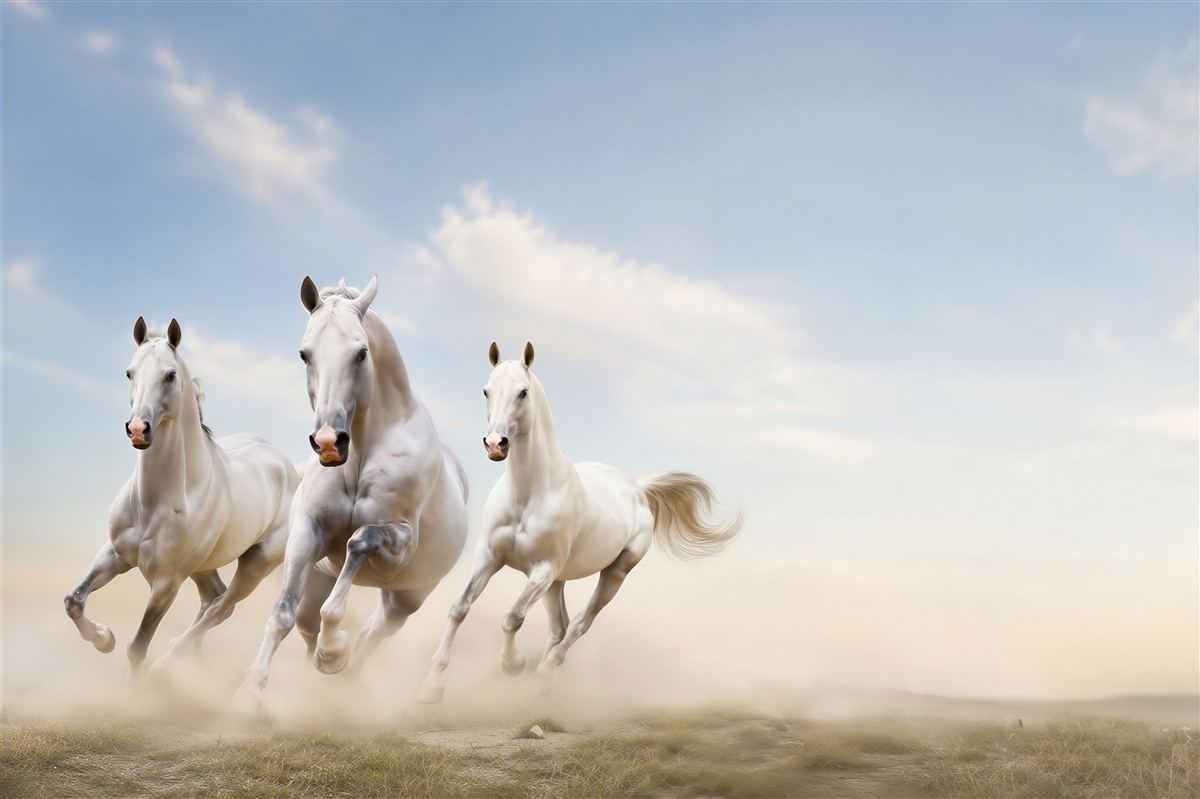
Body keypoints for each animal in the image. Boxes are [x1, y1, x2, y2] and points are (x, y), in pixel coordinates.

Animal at [63, 317, 300, 691]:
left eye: (170, 375)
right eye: (129, 372)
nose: (138, 430)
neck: (159, 498)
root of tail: (286, 464)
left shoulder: (166, 582)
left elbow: (137, 647)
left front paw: (133, 692)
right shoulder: (116, 554)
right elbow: (73, 600)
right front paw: (103, 639)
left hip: (257, 563)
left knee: (222, 606)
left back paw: (171, 662)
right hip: (203, 566)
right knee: (213, 597)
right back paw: (191, 661)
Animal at [234, 276, 468, 714]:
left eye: (361, 353)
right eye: (304, 353)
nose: (329, 442)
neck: (360, 454)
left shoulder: (398, 545)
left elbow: (359, 542)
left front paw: (332, 650)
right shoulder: (307, 533)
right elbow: (282, 615)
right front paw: (249, 693)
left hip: (405, 598)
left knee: (372, 634)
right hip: (317, 582)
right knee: (309, 622)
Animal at [417, 342, 743, 703]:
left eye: (523, 392)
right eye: (486, 391)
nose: (495, 444)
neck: (528, 494)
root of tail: (637, 489)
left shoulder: (543, 567)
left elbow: (512, 617)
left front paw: (513, 664)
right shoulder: (490, 556)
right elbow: (459, 608)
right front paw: (432, 685)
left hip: (612, 572)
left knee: (580, 624)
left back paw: (545, 673)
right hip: (556, 581)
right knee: (559, 626)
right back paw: (544, 681)